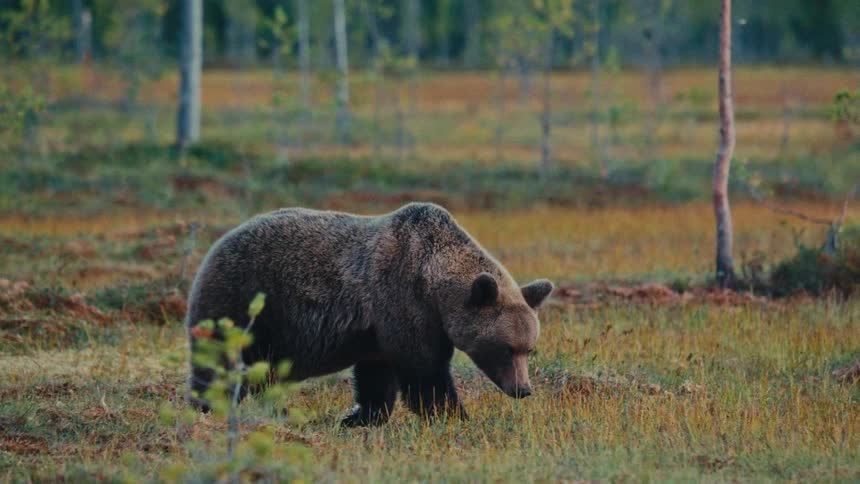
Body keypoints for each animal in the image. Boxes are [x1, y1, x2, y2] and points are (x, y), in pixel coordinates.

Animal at [185, 202, 554, 426]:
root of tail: (218, 243)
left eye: (529, 348)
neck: (433, 283)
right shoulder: (404, 303)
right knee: (218, 361)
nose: (523, 389)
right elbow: (425, 372)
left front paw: (359, 417)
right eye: (505, 348)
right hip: (246, 300)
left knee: (263, 373)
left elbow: (377, 377)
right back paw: (209, 406)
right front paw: (455, 416)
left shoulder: (378, 329)